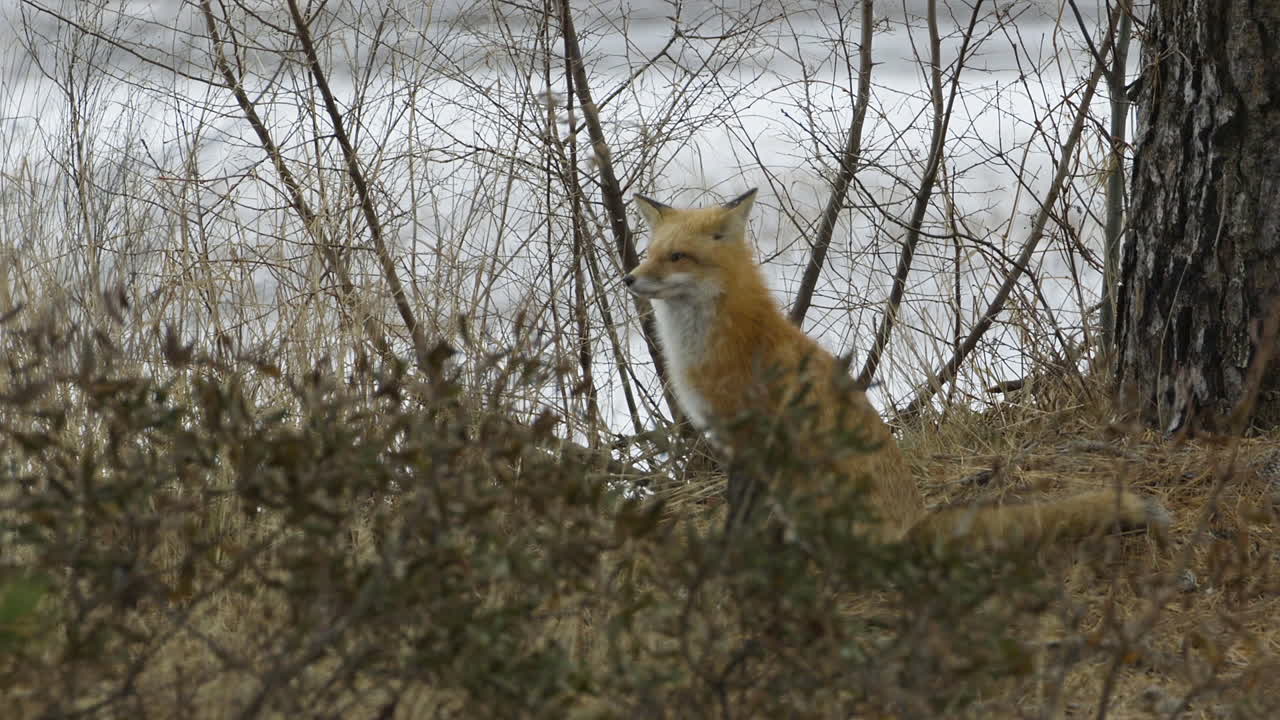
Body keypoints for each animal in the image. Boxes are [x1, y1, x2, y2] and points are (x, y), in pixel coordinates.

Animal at [624, 188, 1168, 548]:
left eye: (677, 257)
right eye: (649, 254)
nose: (628, 278)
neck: (710, 342)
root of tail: (914, 523)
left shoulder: (751, 438)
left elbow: (741, 515)